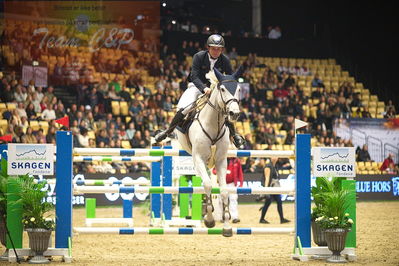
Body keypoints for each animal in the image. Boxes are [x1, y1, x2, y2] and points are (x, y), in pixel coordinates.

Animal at [176, 67, 244, 237]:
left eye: (239, 89)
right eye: (222, 89)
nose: (234, 113)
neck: (214, 123)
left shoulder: (220, 161)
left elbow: (224, 191)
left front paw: (226, 226)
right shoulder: (198, 158)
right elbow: (207, 185)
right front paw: (209, 219)